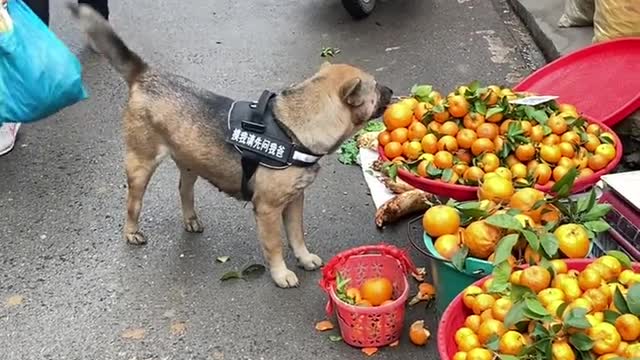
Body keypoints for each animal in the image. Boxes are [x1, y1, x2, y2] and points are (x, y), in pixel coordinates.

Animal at [67, 4, 392, 288]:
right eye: (376, 87)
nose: (390, 90)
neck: (292, 129)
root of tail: (146, 74)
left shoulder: (294, 201)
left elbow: (297, 235)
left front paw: (303, 257)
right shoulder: (268, 210)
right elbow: (275, 245)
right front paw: (280, 273)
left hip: (190, 162)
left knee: (183, 190)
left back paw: (191, 219)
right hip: (140, 165)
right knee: (133, 204)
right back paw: (132, 232)